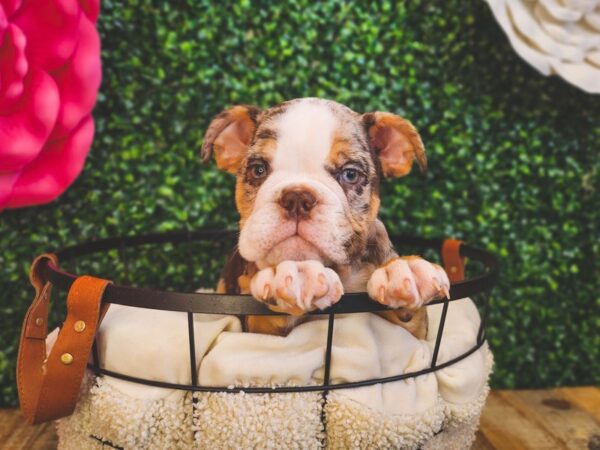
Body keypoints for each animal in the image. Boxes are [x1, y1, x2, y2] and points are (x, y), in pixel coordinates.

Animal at [203, 97, 450, 338]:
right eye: (258, 170)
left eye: (350, 174)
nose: (297, 197)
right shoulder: (254, 328)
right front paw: (298, 275)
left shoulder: (412, 332)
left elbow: (412, 316)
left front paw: (405, 270)